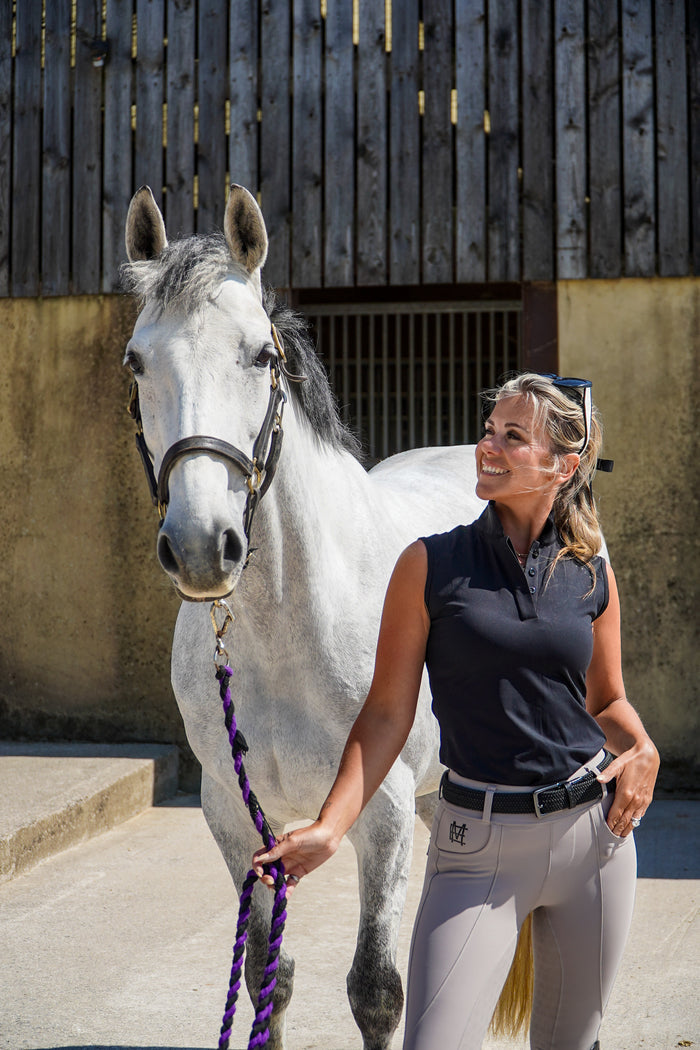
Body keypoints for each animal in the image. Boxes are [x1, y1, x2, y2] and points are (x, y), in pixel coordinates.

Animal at [122, 183, 531, 1049]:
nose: (203, 545)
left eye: (262, 355)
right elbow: (268, 980)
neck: (288, 630)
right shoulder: (234, 814)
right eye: (136, 362)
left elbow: (375, 989)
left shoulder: (380, 812)